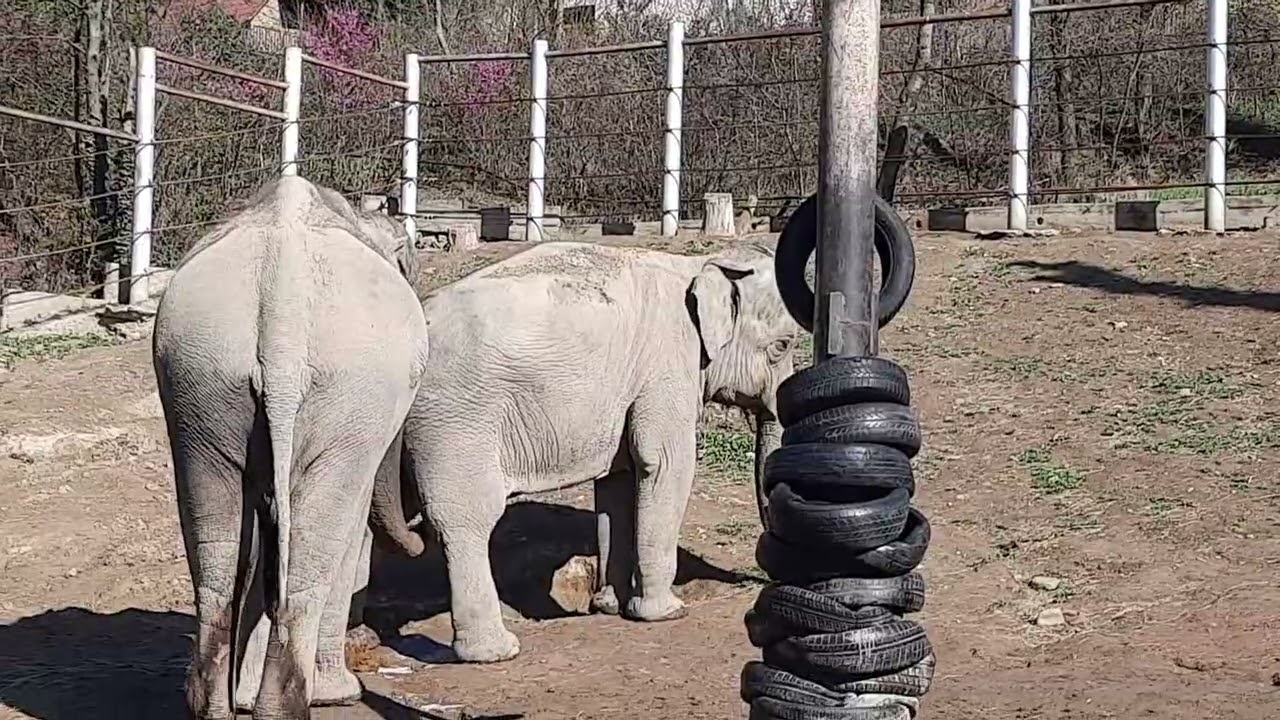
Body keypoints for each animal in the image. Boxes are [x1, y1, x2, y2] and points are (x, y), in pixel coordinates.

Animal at [152, 175, 430, 719]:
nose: (419, 537)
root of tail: (282, 311)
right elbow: (350, 531)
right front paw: (341, 693)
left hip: (198, 376)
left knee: (217, 559)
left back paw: (220, 704)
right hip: (347, 392)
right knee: (313, 558)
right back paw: (296, 701)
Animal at [370, 240, 799, 663]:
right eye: (783, 345)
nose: (756, 580)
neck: (700, 264)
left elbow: (616, 481)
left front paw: (609, 606)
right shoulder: (668, 366)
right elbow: (665, 465)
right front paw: (666, 612)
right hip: (456, 421)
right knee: (466, 518)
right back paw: (496, 651)